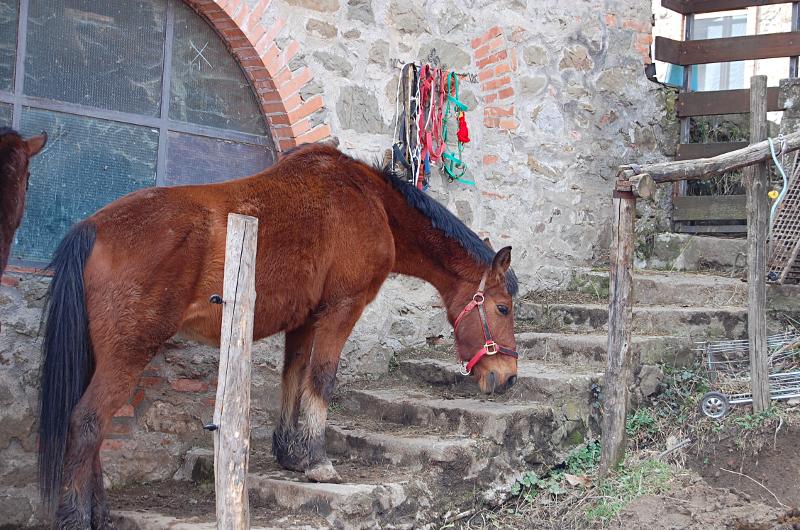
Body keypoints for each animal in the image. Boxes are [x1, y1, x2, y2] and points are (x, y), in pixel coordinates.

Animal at [37, 142, 519, 528]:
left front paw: (292, 455)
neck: (370, 202)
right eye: (502, 307)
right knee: (87, 424)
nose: (509, 375)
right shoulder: (342, 309)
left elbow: (293, 378)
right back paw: (76, 517)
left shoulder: (304, 319)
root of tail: (93, 228)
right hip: (128, 354)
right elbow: (322, 378)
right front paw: (319, 461)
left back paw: (99, 513)